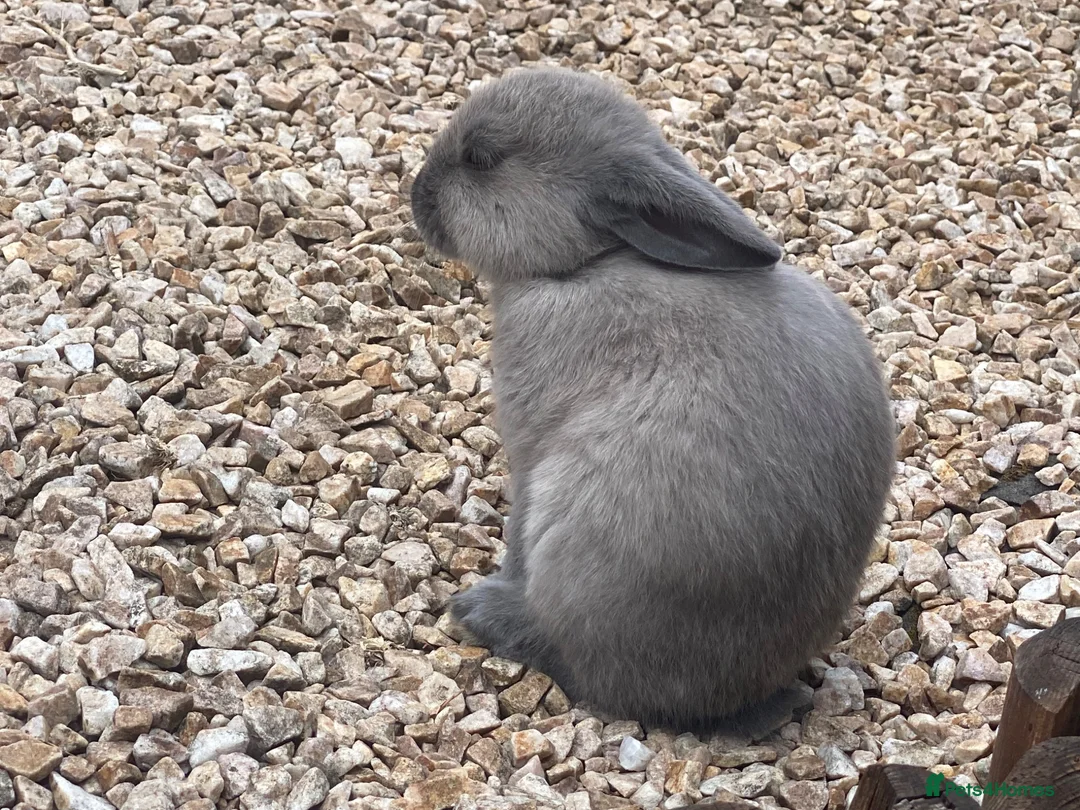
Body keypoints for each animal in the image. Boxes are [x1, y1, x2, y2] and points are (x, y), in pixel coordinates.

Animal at [410, 66, 895, 735]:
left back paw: (481, 611)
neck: (586, 264)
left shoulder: (529, 458)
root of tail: (723, 704)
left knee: (578, 663)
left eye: (481, 159)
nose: (416, 194)